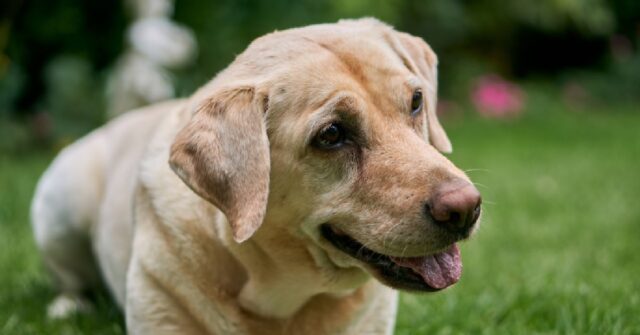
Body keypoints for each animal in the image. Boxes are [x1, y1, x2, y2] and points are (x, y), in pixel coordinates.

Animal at [30, 19, 480, 335]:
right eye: (332, 135)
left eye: (417, 101)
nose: (466, 208)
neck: (282, 304)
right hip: (62, 203)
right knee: (67, 278)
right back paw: (66, 308)